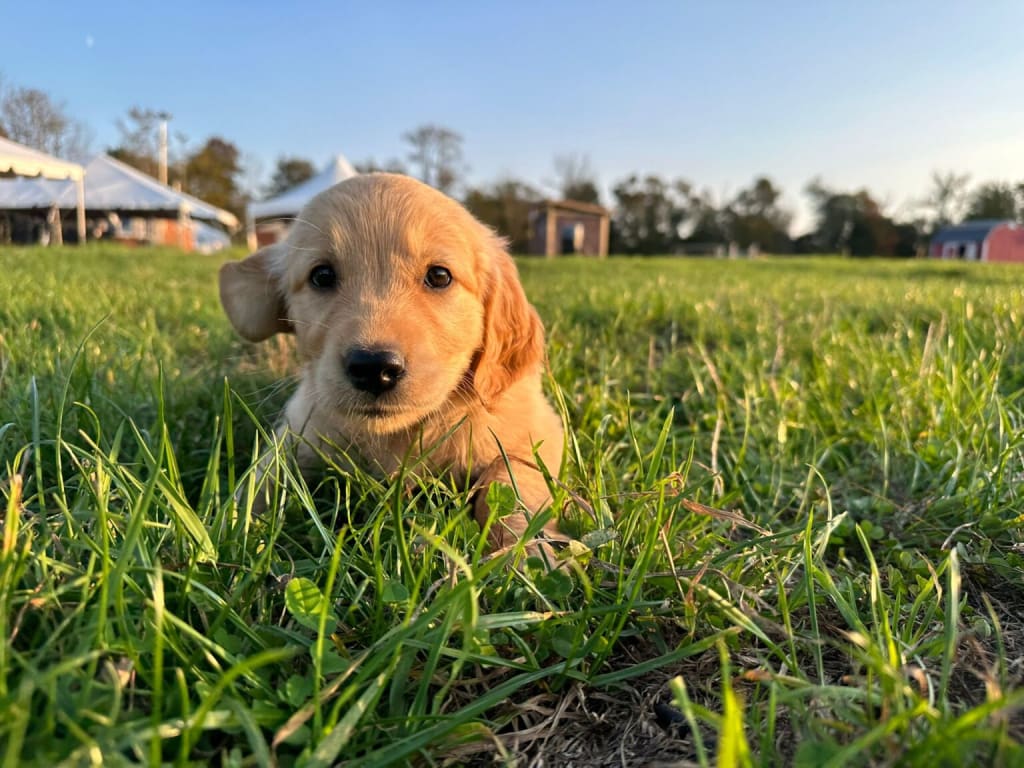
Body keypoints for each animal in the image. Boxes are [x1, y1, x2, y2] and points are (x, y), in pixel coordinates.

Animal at [219, 173, 565, 556]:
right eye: (321, 276)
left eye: (439, 276)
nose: (373, 368)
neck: (398, 435)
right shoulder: (299, 431)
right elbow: (263, 477)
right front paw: (221, 528)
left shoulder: (537, 430)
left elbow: (510, 482)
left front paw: (526, 551)